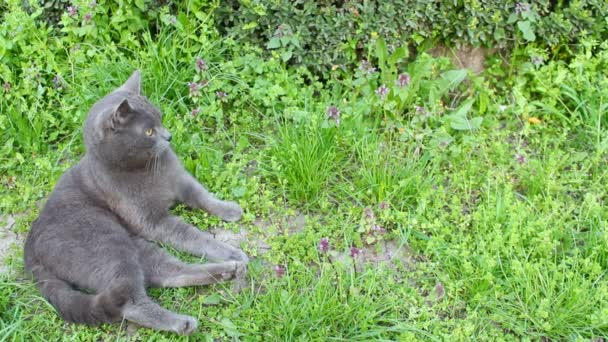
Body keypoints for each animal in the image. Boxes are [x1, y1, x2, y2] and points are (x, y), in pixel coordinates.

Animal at [23, 71, 247, 336]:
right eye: (149, 132)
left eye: (161, 118)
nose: (169, 136)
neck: (148, 169)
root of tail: (30, 249)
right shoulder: (152, 221)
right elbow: (192, 235)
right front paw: (230, 249)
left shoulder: (181, 181)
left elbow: (203, 196)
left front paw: (230, 209)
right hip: (109, 244)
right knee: (131, 302)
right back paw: (183, 322)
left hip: (137, 247)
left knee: (169, 272)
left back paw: (228, 271)